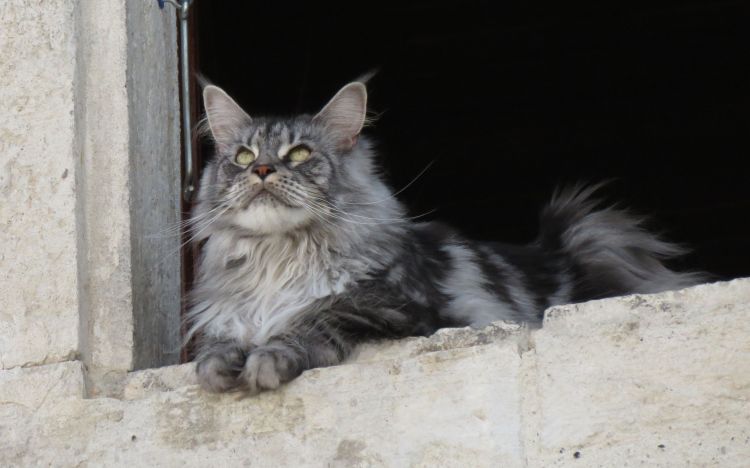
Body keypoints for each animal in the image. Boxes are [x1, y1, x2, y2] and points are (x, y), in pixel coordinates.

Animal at [187, 78, 704, 394]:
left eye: (298, 153)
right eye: (242, 156)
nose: (261, 170)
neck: (278, 259)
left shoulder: (398, 308)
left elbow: (316, 317)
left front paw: (268, 359)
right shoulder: (228, 316)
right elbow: (221, 341)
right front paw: (217, 367)